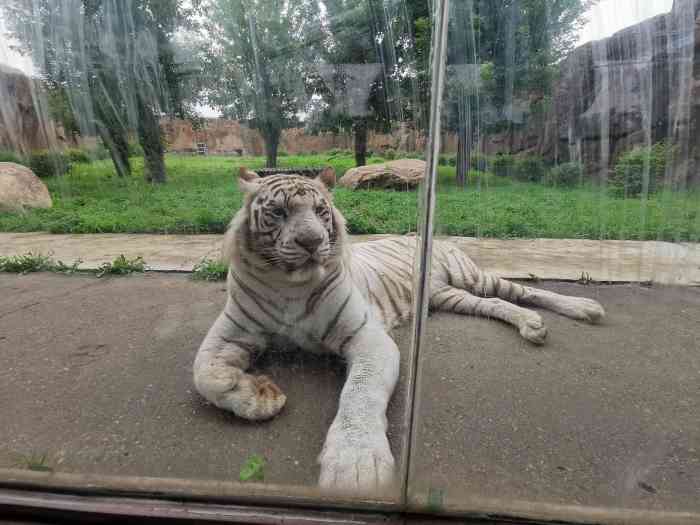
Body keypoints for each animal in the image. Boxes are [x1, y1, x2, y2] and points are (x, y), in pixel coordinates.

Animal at [193, 167, 608, 492]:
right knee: (497, 305)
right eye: (278, 212)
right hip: (449, 296)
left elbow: (359, 395)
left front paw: (354, 466)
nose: (312, 242)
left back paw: (585, 308)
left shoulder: (368, 337)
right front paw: (259, 397)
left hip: (473, 277)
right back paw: (531, 325)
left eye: (320, 211)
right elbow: (203, 374)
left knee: (524, 291)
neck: (288, 285)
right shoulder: (232, 332)